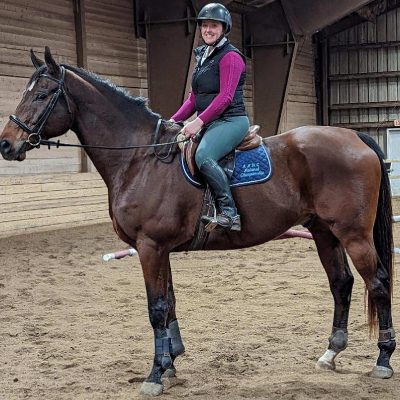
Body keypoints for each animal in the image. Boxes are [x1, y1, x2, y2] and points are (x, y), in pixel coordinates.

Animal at [0, 48, 394, 396]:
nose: (6, 144)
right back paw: (331, 352)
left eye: (44, 94)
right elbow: (170, 302)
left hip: (353, 234)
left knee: (377, 283)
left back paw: (383, 360)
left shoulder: (149, 246)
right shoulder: (159, 249)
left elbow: (156, 309)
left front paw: (155, 375)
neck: (140, 158)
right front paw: (170, 363)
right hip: (324, 231)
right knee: (341, 283)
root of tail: (353, 135)